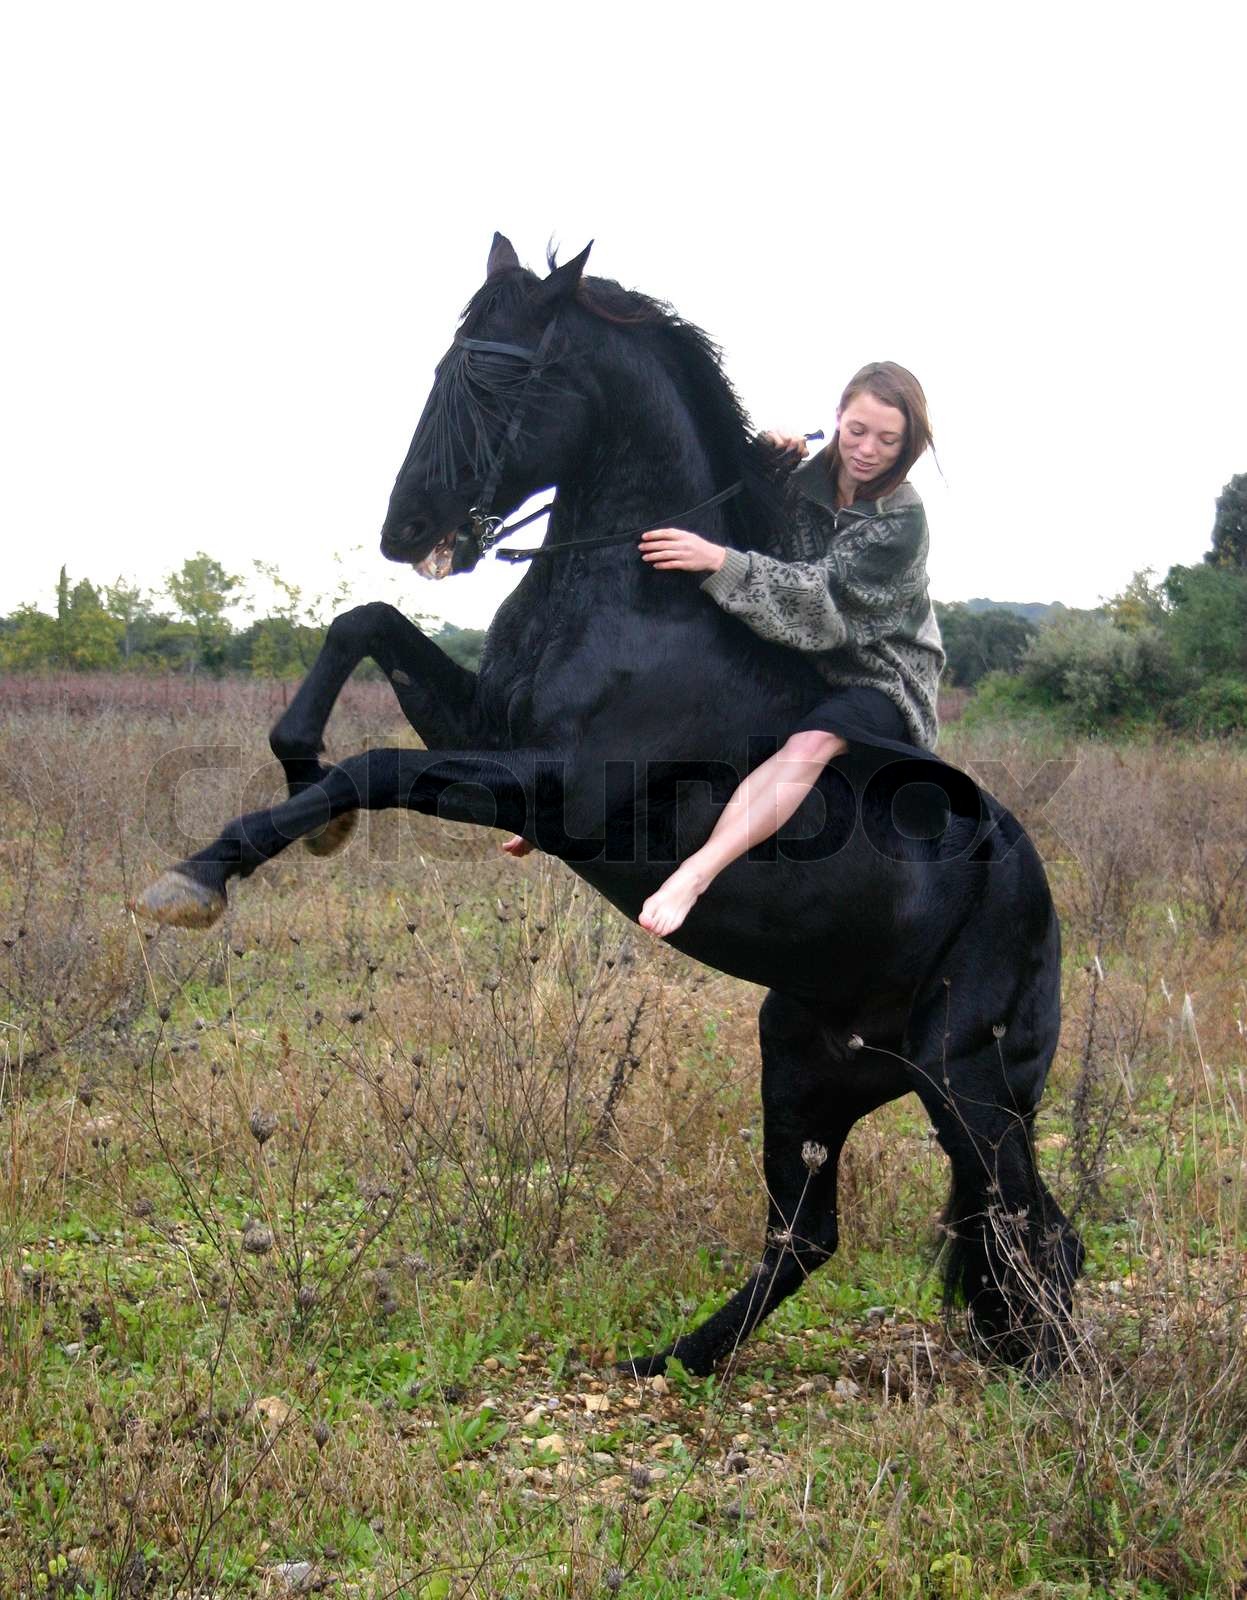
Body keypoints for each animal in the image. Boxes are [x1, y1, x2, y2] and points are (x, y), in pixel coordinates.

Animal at [134, 234, 1082, 1375]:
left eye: (498, 377)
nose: (407, 529)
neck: (639, 602)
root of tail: (1036, 902)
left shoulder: (550, 790)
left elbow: (370, 765)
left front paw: (200, 875)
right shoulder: (482, 726)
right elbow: (360, 628)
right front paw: (291, 779)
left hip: (965, 1083)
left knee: (1030, 1230)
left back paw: (1044, 1376)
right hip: (808, 1060)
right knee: (816, 1233)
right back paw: (672, 1361)